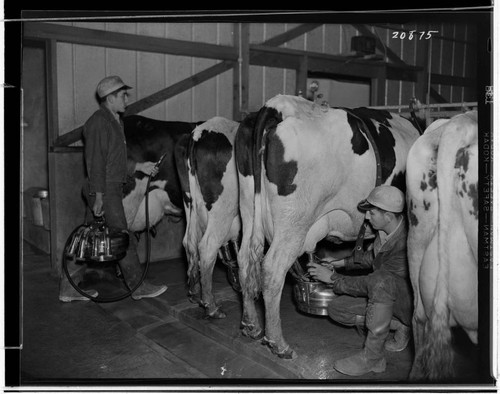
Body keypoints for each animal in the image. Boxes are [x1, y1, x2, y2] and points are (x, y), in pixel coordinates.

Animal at [174, 116, 242, 318]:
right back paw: (211, 307)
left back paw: (195, 293)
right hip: (223, 208)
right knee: (208, 246)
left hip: (190, 202)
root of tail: (198, 133)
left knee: (189, 242)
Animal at [236, 95, 420, 360]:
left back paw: (251, 324)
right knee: (272, 268)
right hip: (295, 220)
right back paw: (278, 343)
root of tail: (277, 105)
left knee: (245, 259)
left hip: (249, 207)